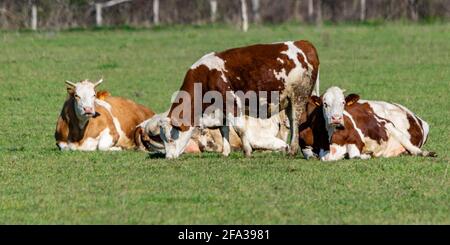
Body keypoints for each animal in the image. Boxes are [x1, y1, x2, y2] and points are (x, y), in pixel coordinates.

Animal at [155, 40, 320, 159]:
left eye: (170, 139)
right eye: (162, 139)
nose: (168, 157)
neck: (206, 76)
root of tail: (304, 43)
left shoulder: (231, 101)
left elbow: (239, 128)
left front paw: (247, 151)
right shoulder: (220, 109)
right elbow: (224, 129)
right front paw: (225, 152)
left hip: (299, 96)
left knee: (295, 122)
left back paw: (292, 150)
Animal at [298, 86, 432, 161]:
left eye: (343, 102)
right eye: (325, 104)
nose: (336, 118)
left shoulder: (357, 140)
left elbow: (354, 155)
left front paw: (366, 155)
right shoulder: (305, 147)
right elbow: (315, 156)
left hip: (390, 126)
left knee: (413, 148)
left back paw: (427, 153)